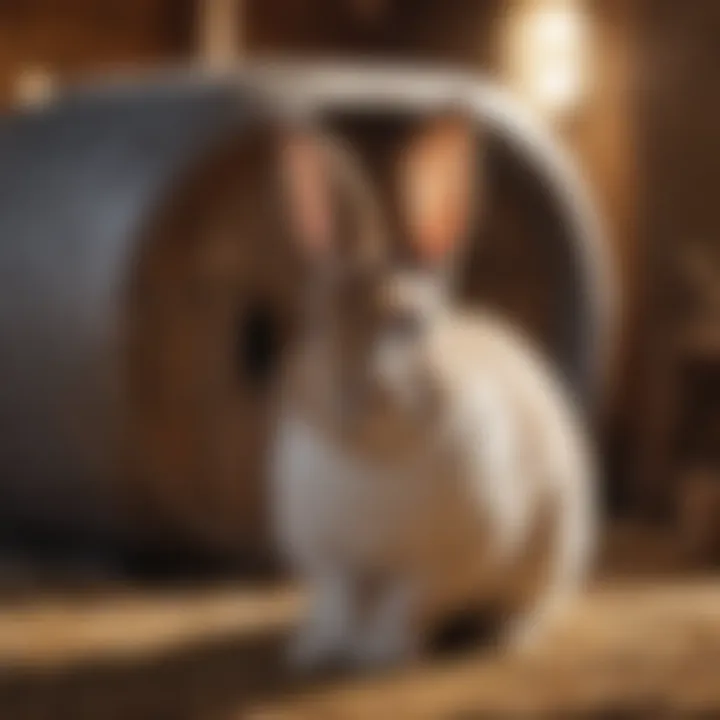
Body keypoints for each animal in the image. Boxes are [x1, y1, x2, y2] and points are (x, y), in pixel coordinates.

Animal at [270, 111, 596, 668]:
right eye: (317, 322)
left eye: (409, 323)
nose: (351, 396)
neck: (371, 457)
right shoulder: (333, 563)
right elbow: (337, 603)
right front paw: (318, 653)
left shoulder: (438, 567)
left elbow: (405, 602)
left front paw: (379, 655)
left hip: (551, 557)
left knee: (534, 604)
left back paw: (505, 635)